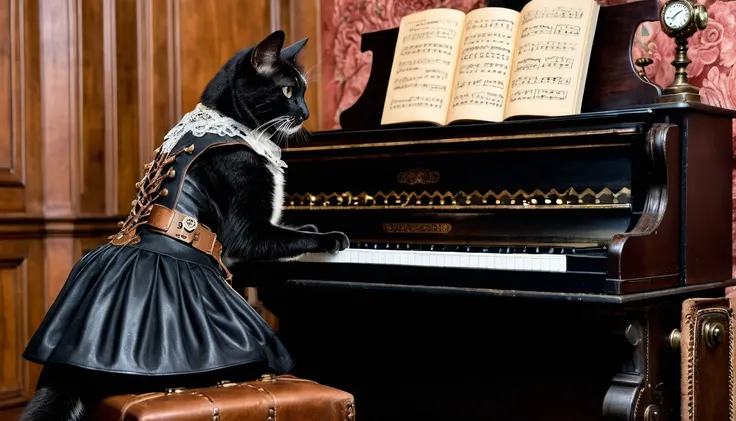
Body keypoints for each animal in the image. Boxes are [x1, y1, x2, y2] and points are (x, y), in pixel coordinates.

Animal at [20, 30, 348, 420]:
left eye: (304, 91)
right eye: (287, 91)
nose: (306, 112)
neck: (235, 125)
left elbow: (291, 233)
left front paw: (312, 229)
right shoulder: (246, 230)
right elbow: (276, 238)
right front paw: (332, 237)